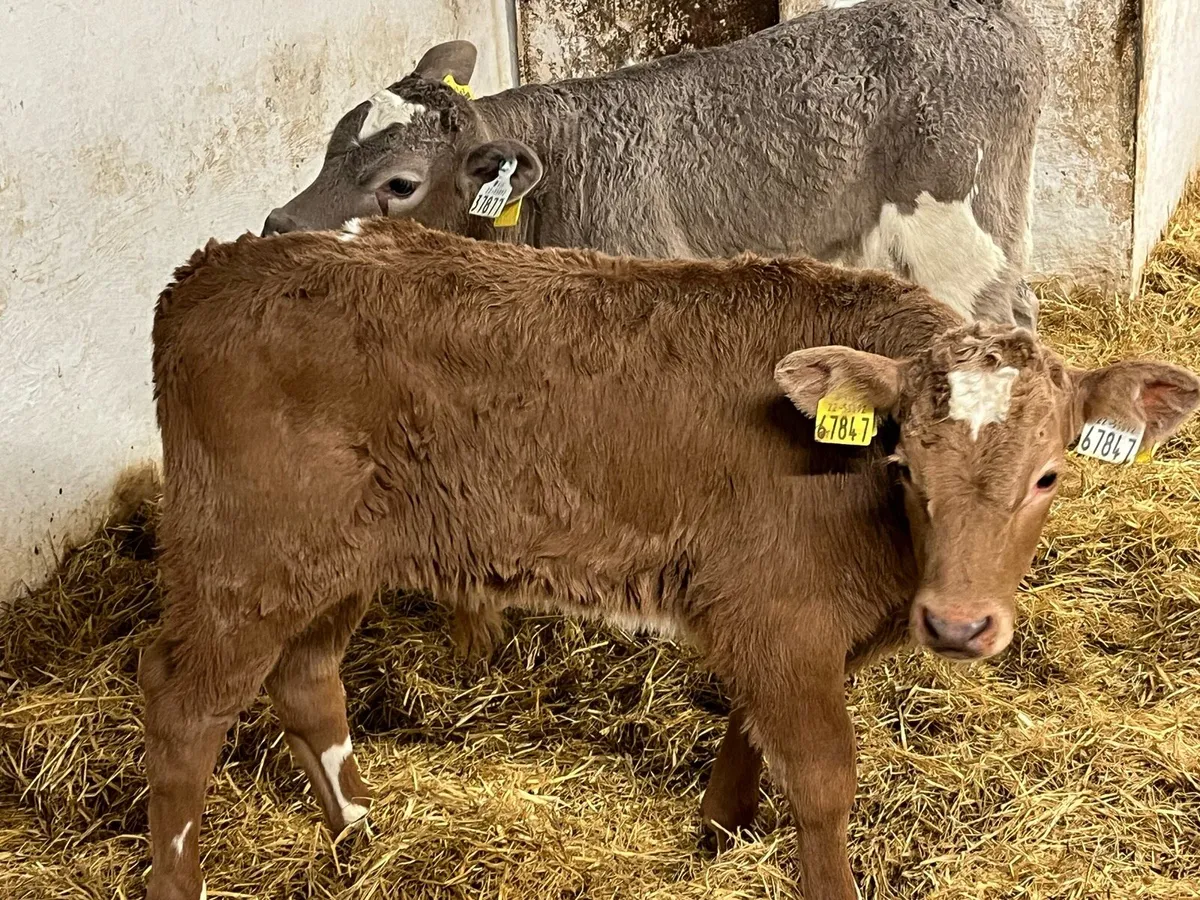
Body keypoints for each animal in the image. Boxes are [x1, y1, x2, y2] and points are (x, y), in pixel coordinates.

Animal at [141, 216, 1199, 900]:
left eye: (1050, 474)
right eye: (904, 462)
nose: (959, 623)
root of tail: (211, 270)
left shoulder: (770, 622)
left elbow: (750, 737)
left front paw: (714, 837)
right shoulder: (780, 613)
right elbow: (822, 781)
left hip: (335, 563)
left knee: (307, 681)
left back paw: (361, 840)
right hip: (241, 559)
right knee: (184, 711)